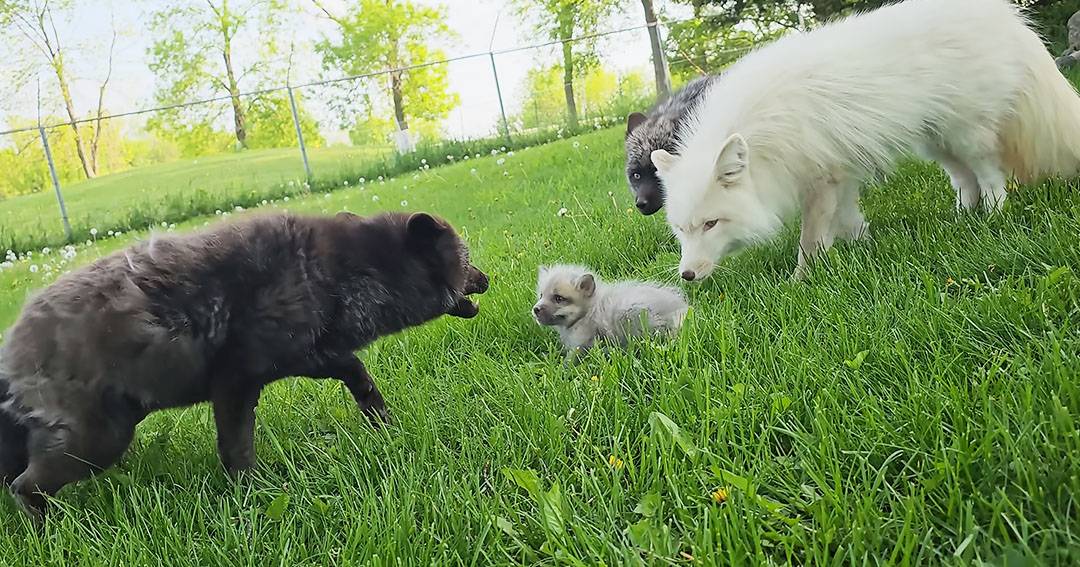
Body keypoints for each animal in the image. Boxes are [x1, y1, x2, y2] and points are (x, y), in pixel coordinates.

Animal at [652, 0, 1080, 282]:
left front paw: (800, 281)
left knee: (990, 176)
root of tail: (1007, 15)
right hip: (938, 143)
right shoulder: (838, 176)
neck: (765, 136)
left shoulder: (821, 180)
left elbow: (811, 240)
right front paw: (864, 247)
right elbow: (849, 222)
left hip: (966, 135)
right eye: (680, 229)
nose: (687, 275)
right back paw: (960, 220)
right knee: (965, 181)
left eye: (711, 224)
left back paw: (993, 215)